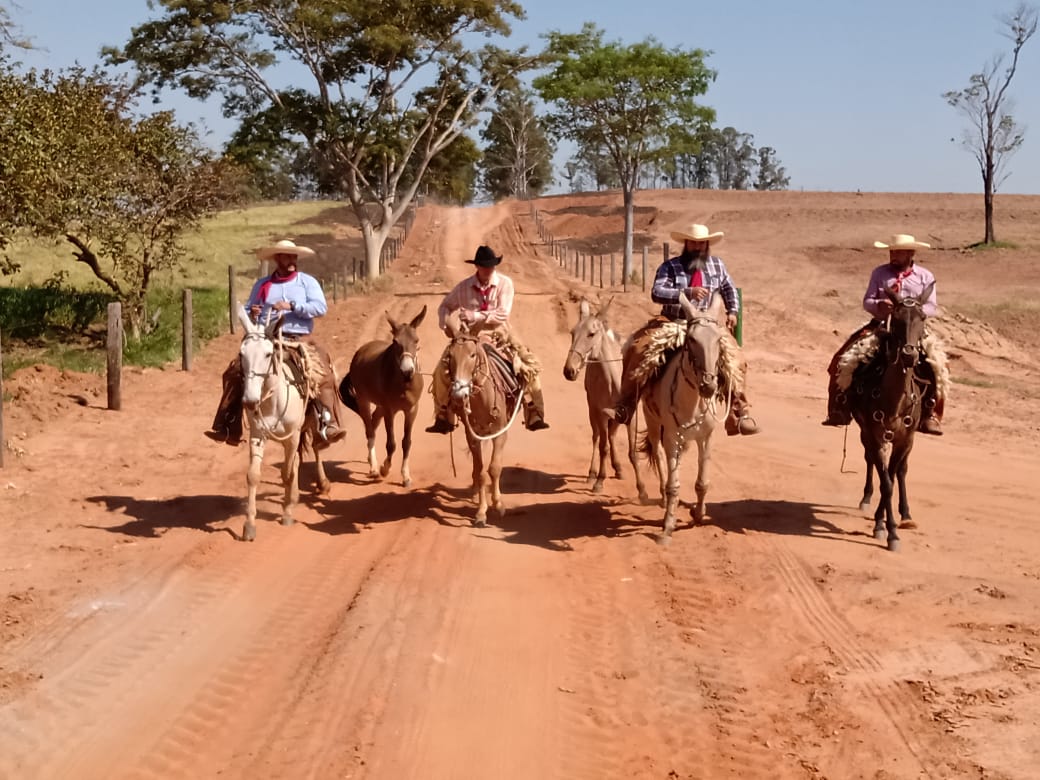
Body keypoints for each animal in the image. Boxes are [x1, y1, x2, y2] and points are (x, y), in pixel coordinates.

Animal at [238, 307, 309, 540]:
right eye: (241, 354)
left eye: (268, 354)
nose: (250, 401)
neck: (273, 401)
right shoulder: (257, 435)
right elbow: (253, 476)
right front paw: (249, 524)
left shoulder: (292, 436)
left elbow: (286, 473)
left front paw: (287, 513)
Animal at [339, 305, 424, 488]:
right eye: (395, 342)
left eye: (416, 340)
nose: (407, 371)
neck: (403, 383)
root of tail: (360, 352)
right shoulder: (389, 411)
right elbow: (391, 444)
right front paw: (385, 468)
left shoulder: (411, 410)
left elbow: (406, 443)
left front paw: (406, 476)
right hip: (364, 401)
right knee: (370, 431)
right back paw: (374, 468)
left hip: (379, 406)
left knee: (373, 422)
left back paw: (370, 460)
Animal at [565, 299, 644, 501]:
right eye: (572, 333)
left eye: (591, 333)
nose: (569, 371)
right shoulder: (600, 413)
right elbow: (603, 446)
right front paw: (600, 481)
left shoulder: (630, 415)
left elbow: (632, 451)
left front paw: (642, 490)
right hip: (592, 409)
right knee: (597, 438)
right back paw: (592, 474)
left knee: (612, 435)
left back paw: (618, 468)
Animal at [844, 284, 935, 553]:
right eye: (896, 318)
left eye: (922, 317)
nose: (909, 355)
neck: (894, 399)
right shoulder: (874, 435)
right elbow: (885, 482)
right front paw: (886, 529)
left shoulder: (905, 439)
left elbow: (893, 478)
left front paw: (886, 523)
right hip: (867, 432)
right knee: (871, 462)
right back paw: (866, 499)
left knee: (901, 471)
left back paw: (906, 514)